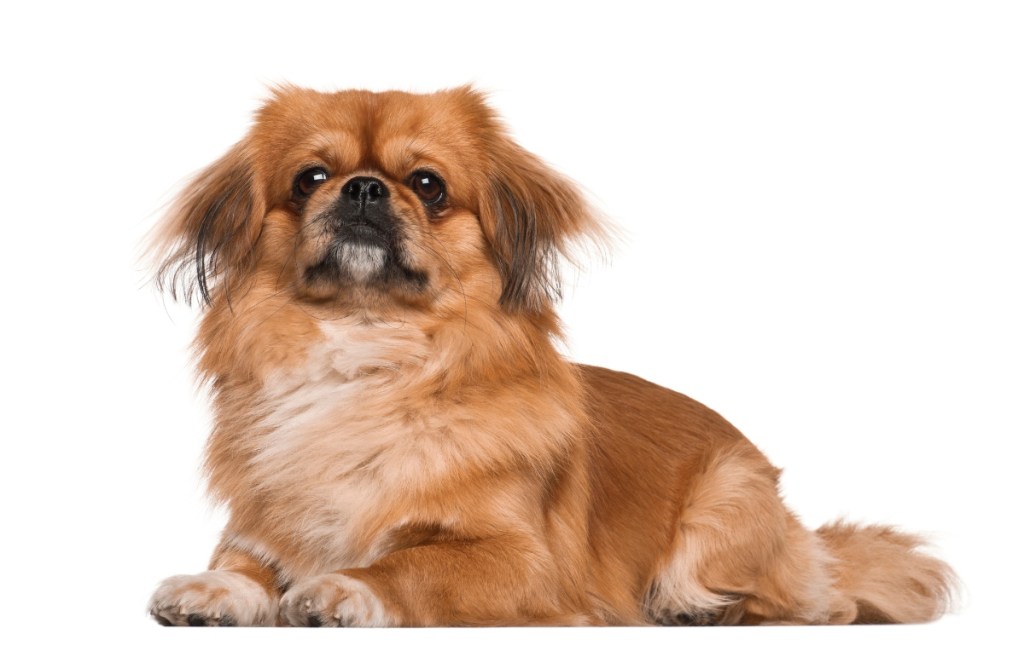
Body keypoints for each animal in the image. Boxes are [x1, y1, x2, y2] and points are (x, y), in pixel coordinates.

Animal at [148, 86, 954, 622]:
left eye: (428, 185)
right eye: (311, 178)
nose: (364, 189)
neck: (368, 348)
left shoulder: (522, 562)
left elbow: (414, 562)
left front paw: (346, 585)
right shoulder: (260, 521)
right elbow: (243, 560)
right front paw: (215, 590)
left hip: (726, 503)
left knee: (815, 605)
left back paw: (699, 609)